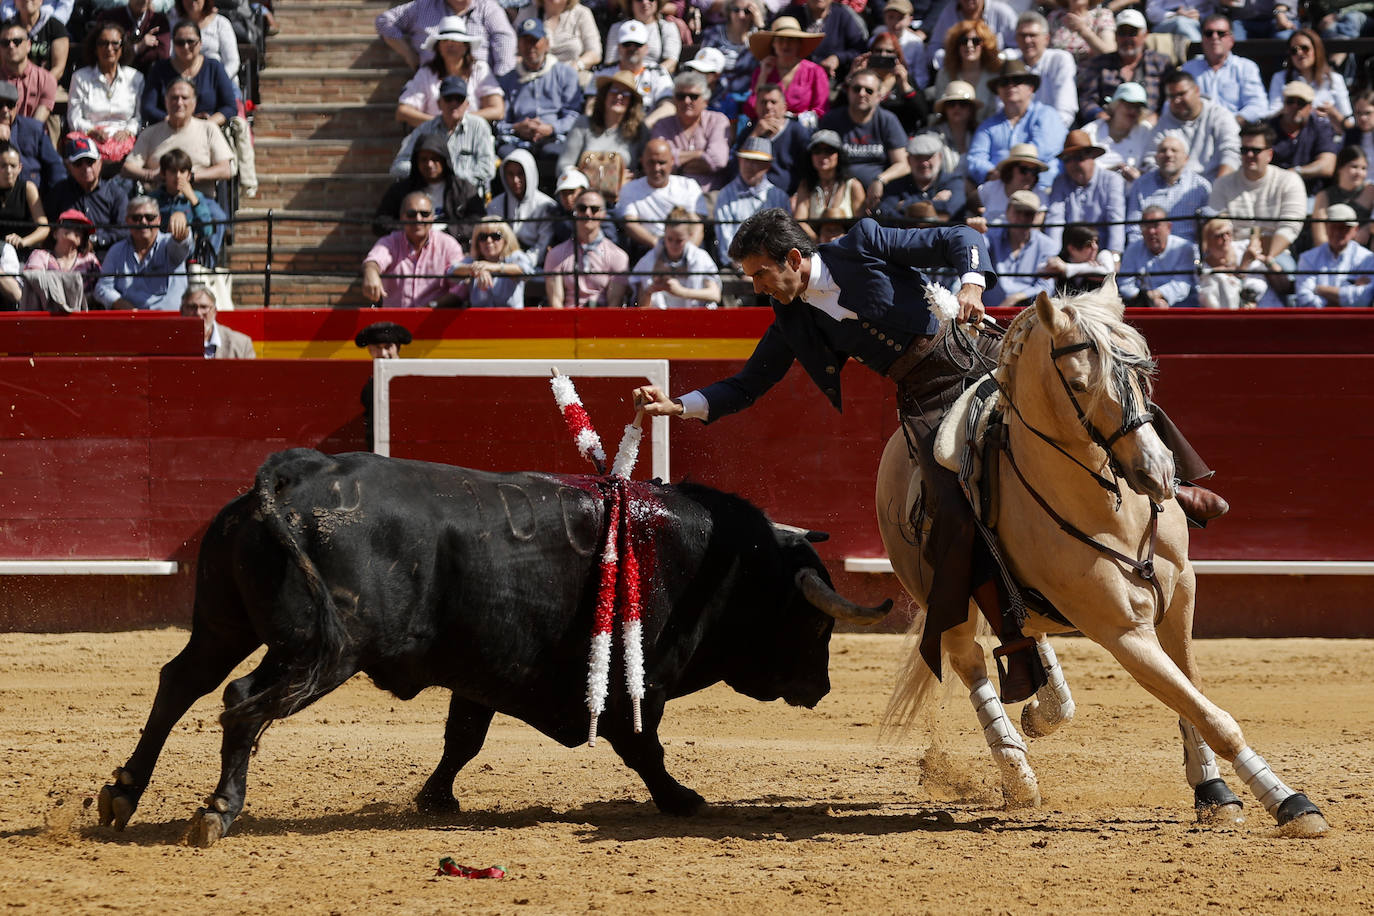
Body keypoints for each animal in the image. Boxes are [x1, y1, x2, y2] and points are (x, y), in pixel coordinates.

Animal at [96, 450, 890, 845]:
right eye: (815, 624)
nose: (820, 687)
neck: (713, 562)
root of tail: (287, 479)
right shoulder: (634, 686)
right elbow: (644, 749)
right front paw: (684, 800)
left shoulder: (479, 673)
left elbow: (463, 738)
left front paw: (435, 799)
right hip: (317, 650)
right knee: (240, 703)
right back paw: (216, 812)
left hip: (225, 625)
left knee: (179, 683)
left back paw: (122, 793)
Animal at [873, 287, 1324, 840]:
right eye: (1078, 383)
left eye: (1143, 373)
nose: (1158, 473)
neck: (1110, 509)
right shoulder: (1121, 630)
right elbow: (1209, 713)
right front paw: (1289, 802)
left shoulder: (1181, 596)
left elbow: (1190, 691)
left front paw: (1214, 792)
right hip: (946, 598)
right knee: (969, 659)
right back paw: (1018, 774)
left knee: (1024, 632)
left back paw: (1046, 709)